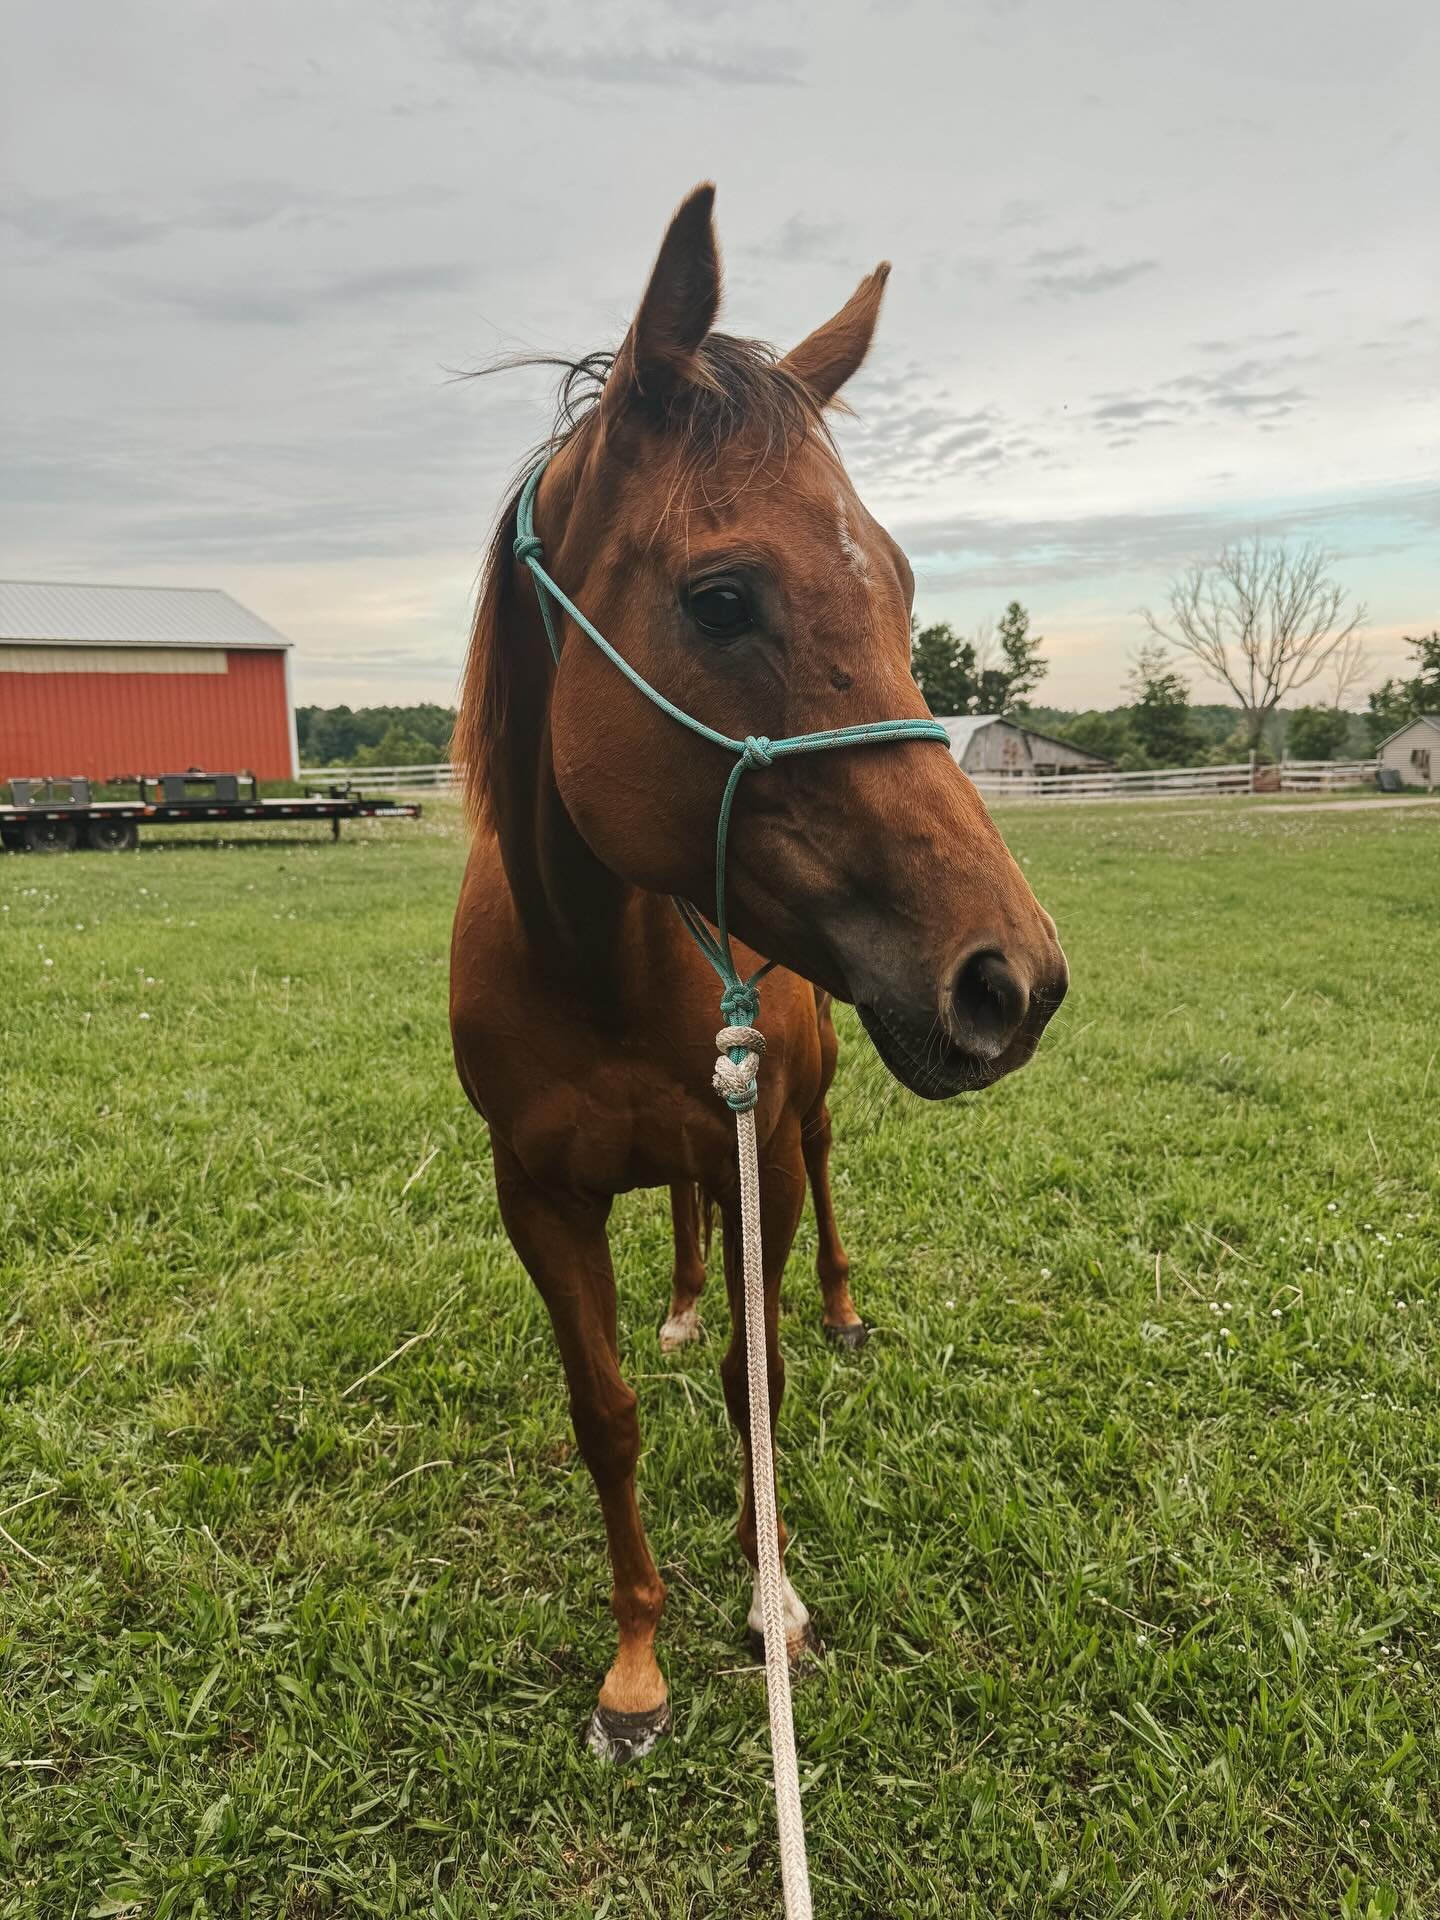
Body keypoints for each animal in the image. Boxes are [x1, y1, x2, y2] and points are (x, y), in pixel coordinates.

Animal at [450, 183, 1068, 1762]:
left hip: (817, 1108)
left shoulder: (766, 1156)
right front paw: (636, 1665)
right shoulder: (535, 1196)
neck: (595, 967)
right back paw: (675, 1294)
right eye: (721, 599)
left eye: (902, 588)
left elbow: (758, 1375)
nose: (1013, 979)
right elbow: (603, 1410)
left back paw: (843, 1308)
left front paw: (769, 1600)